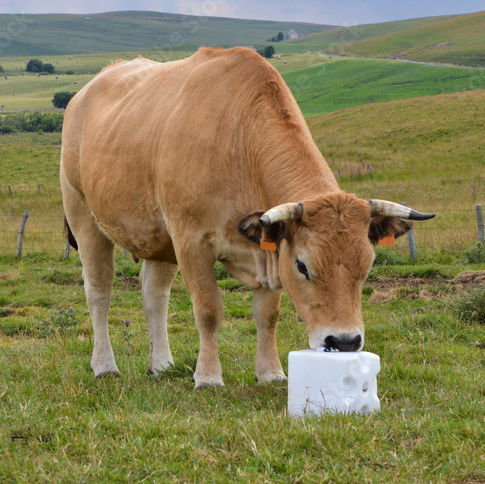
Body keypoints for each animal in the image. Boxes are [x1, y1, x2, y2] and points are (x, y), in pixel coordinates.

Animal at [60, 47, 434, 388]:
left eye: (368, 266)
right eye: (302, 266)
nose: (344, 342)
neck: (238, 142)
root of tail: (88, 88)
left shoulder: (268, 247)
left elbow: (267, 315)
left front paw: (270, 373)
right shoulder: (191, 241)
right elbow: (208, 311)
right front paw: (208, 377)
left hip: (157, 237)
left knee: (154, 295)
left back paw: (162, 364)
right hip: (85, 217)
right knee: (99, 291)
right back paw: (104, 366)